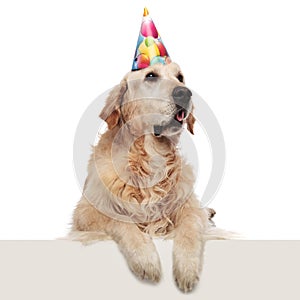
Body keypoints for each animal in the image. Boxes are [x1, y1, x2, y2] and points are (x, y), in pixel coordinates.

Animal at [71, 62, 219, 292]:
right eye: (150, 76)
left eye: (180, 77)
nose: (184, 93)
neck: (152, 156)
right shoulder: (86, 213)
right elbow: (122, 222)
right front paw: (146, 260)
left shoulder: (188, 207)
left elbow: (189, 229)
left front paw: (187, 269)